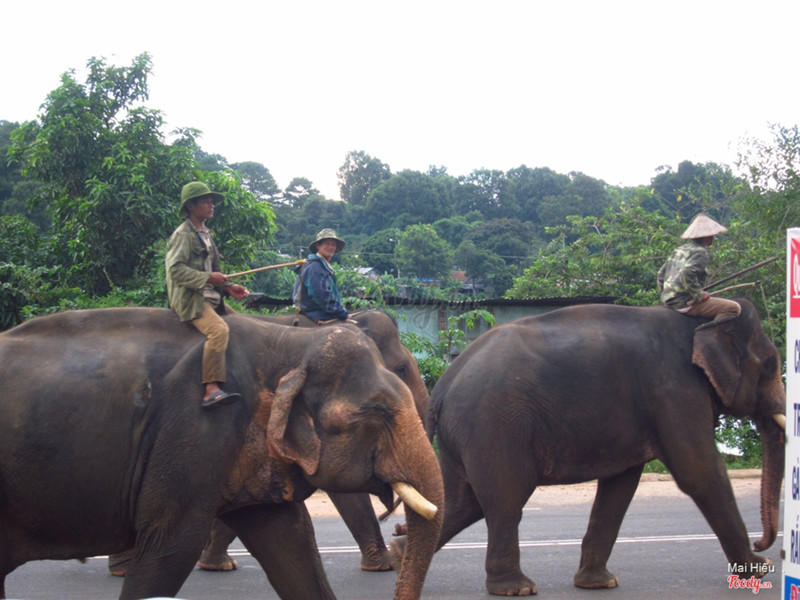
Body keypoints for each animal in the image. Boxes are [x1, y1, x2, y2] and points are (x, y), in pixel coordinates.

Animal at [0, 310, 444, 600]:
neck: (287, 340)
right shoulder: (192, 431)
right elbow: (169, 546)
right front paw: (383, 564)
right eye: (379, 410)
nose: (398, 536)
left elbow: (292, 542)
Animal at [396, 298, 784, 596]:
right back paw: (516, 588)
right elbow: (700, 472)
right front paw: (758, 569)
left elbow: (620, 486)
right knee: (505, 499)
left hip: (466, 434)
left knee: (462, 502)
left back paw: (401, 554)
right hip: (494, 425)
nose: (764, 546)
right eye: (770, 365)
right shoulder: (673, 389)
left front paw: (598, 583)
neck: (700, 323)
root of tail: (445, 383)